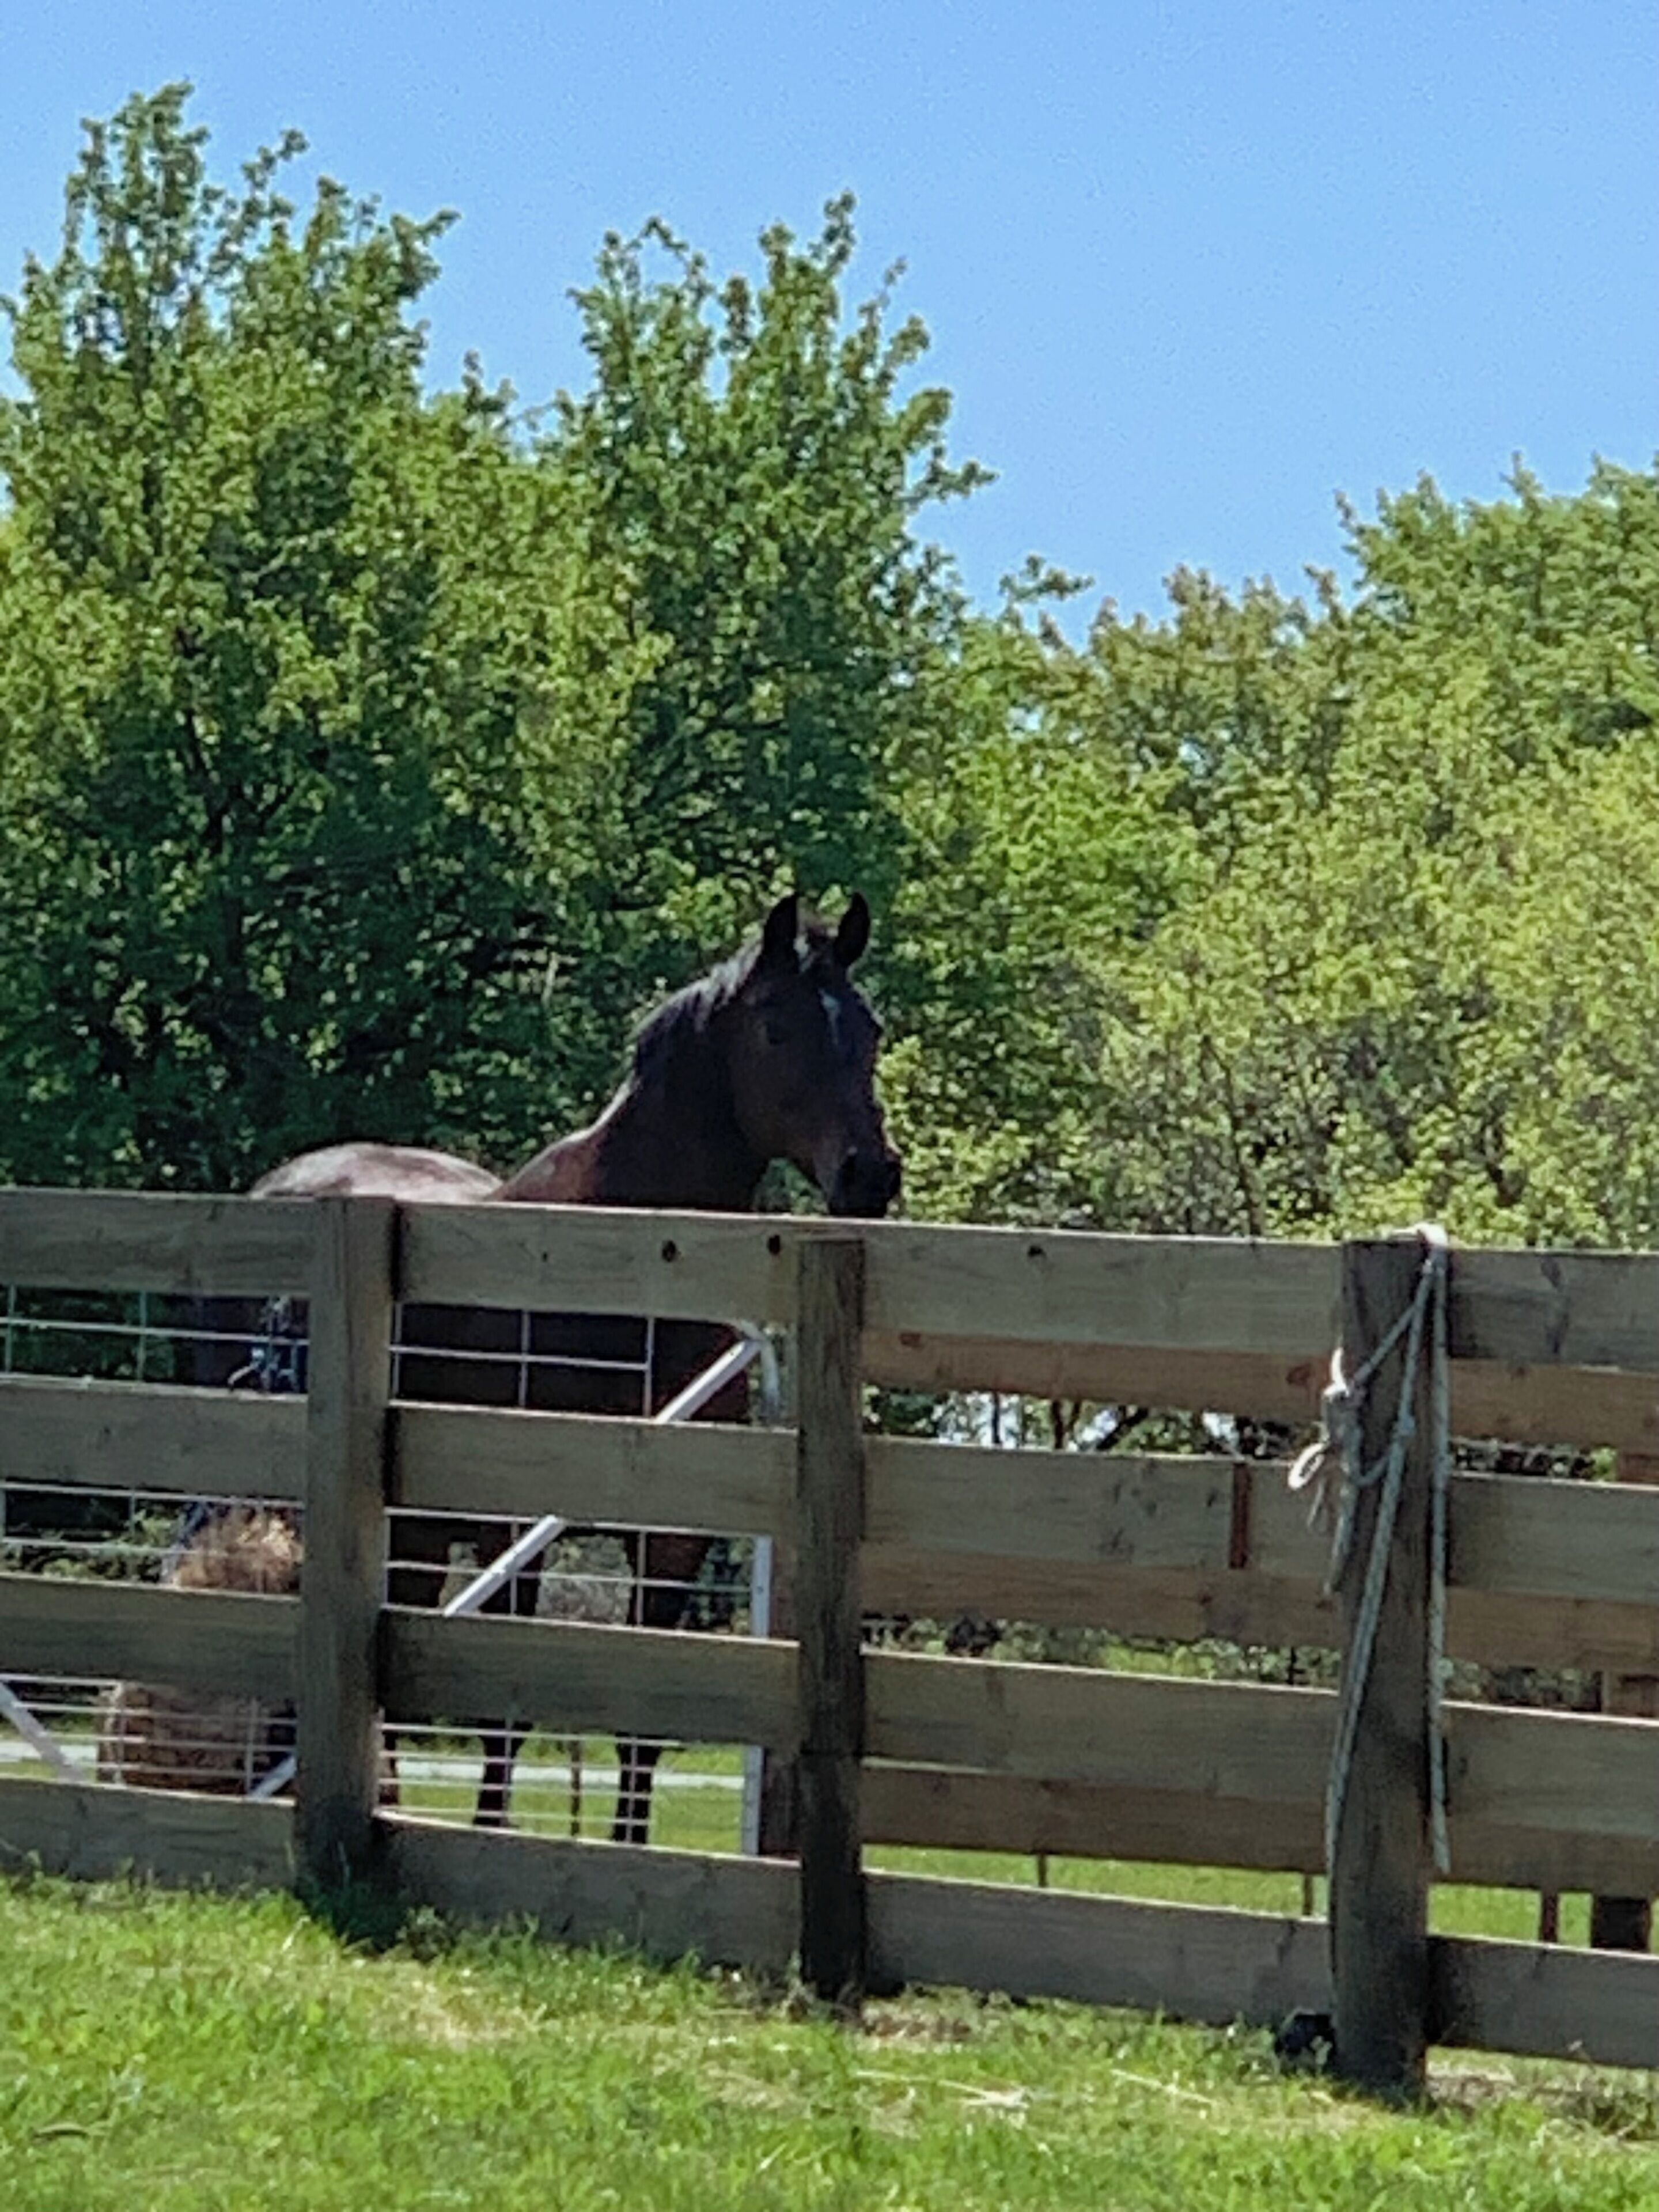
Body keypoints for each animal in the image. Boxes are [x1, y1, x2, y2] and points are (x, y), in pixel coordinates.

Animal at [238, 893, 900, 1840]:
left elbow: (640, 1729)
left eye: (870, 1028)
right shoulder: (516, 1522)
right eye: (777, 1026)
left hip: (418, 1526)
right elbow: (505, 1711)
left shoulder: (672, 1540)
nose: (870, 1174)